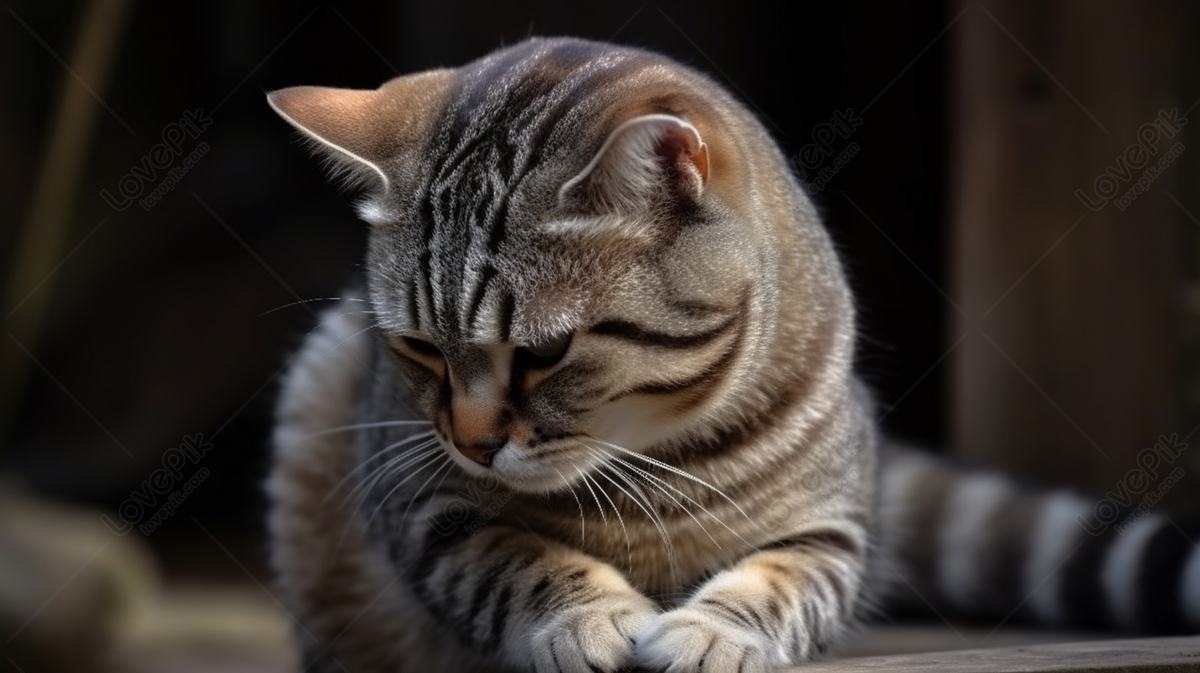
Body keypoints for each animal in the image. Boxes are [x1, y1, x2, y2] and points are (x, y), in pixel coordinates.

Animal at [265, 38, 1200, 671]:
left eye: (547, 352)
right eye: (419, 347)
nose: (472, 442)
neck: (652, 459)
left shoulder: (830, 525)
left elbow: (778, 580)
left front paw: (709, 632)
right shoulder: (419, 498)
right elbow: (515, 558)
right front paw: (587, 614)